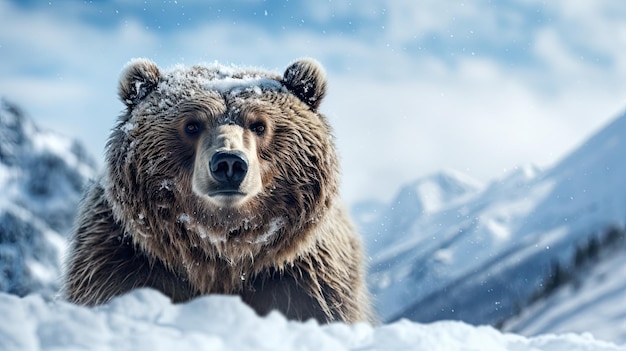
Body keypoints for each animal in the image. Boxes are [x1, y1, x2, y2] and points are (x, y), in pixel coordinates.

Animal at [64, 57, 370, 324]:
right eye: (192, 125)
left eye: (259, 125)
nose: (229, 163)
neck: (221, 252)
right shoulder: (123, 259)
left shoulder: (305, 276)